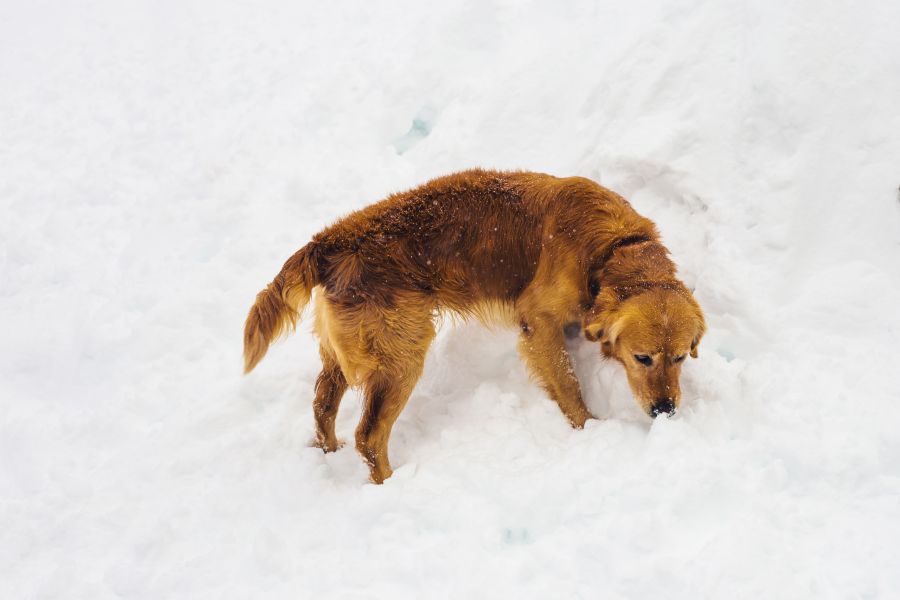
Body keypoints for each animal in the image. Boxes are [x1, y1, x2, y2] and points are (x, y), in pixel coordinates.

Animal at [243, 169, 708, 482]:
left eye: (681, 358)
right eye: (642, 358)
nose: (665, 410)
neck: (611, 249)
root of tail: (331, 240)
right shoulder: (537, 321)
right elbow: (569, 385)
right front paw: (590, 430)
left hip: (349, 349)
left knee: (323, 403)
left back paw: (328, 450)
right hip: (402, 353)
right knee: (369, 435)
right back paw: (389, 482)